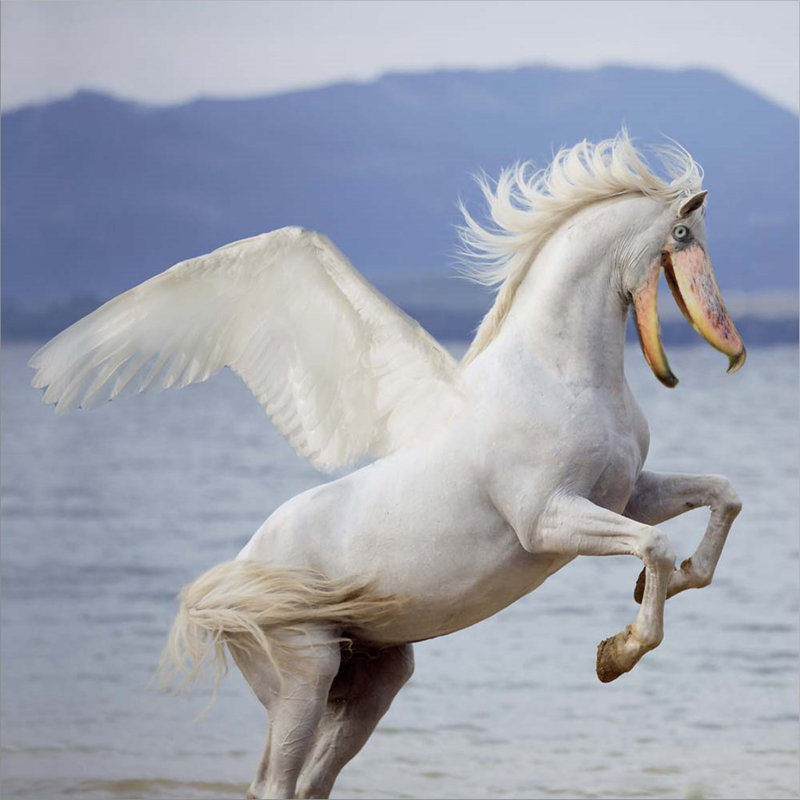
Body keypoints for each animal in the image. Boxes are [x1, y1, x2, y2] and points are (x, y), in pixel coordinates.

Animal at [29, 132, 745, 799]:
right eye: (682, 234)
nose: (734, 352)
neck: (562, 373)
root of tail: (226, 582)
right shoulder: (547, 519)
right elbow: (653, 543)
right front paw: (616, 654)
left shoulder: (623, 494)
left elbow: (721, 497)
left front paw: (665, 586)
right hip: (303, 672)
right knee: (274, 784)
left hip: (374, 677)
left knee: (308, 783)